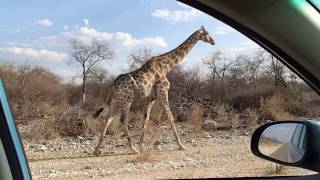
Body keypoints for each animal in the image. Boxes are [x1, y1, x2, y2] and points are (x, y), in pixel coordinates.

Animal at [92, 25, 215, 156]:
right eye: (207, 33)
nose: (213, 41)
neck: (166, 66)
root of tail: (113, 85)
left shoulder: (151, 98)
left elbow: (146, 119)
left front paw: (142, 146)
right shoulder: (163, 91)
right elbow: (170, 117)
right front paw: (181, 145)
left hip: (116, 101)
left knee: (108, 118)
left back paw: (97, 150)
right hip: (127, 100)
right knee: (123, 121)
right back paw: (132, 148)